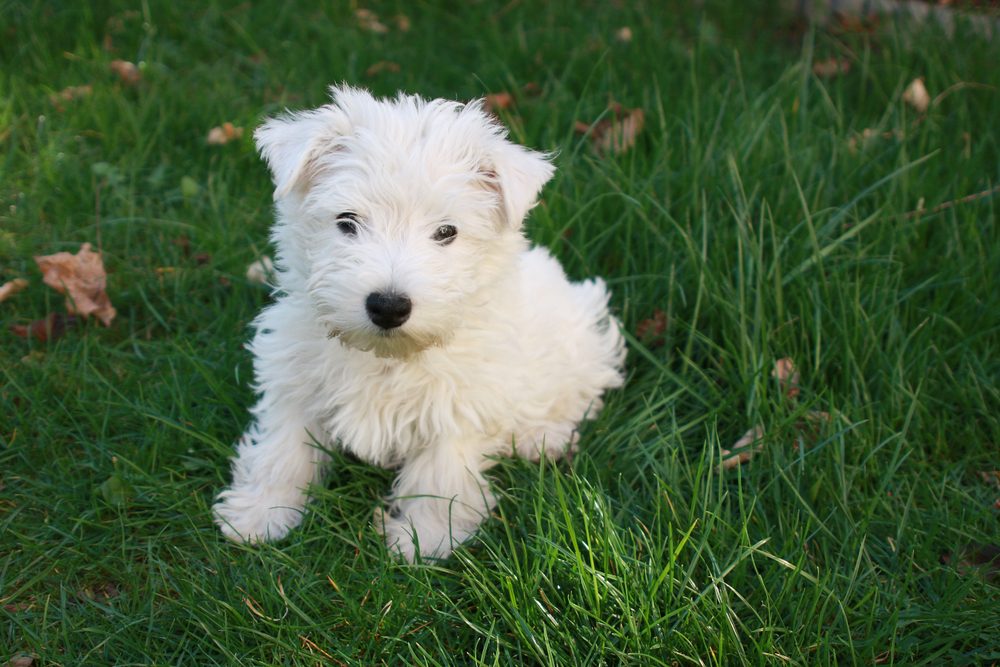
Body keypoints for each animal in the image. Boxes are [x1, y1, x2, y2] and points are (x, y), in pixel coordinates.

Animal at [215, 86, 624, 560]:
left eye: (447, 232)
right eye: (347, 222)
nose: (388, 306)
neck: (389, 356)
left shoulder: (458, 407)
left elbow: (439, 476)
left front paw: (422, 539)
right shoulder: (294, 379)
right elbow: (282, 451)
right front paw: (259, 515)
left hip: (578, 337)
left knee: (579, 393)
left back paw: (544, 437)